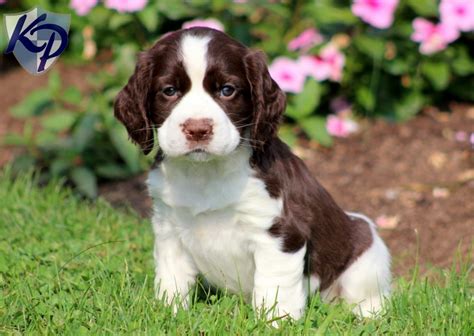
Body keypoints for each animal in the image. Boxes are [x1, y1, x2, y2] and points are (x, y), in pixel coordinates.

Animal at [115, 27, 392, 318]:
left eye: (227, 90)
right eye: (169, 91)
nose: (198, 129)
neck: (206, 172)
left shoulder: (280, 233)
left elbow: (275, 288)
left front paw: (275, 322)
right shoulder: (169, 228)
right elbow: (172, 278)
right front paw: (169, 312)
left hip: (366, 253)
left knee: (370, 298)